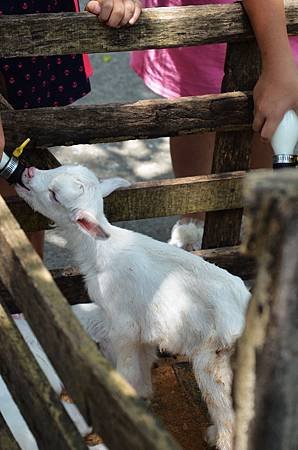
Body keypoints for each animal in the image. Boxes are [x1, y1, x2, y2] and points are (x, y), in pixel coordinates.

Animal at [15, 165, 249, 450]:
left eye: (54, 195)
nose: (28, 171)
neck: (100, 250)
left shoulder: (122, 324)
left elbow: (126, 366)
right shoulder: (144, 324)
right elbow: (144, 358)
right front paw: (144, 395)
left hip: (214, 364)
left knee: (228, 418)